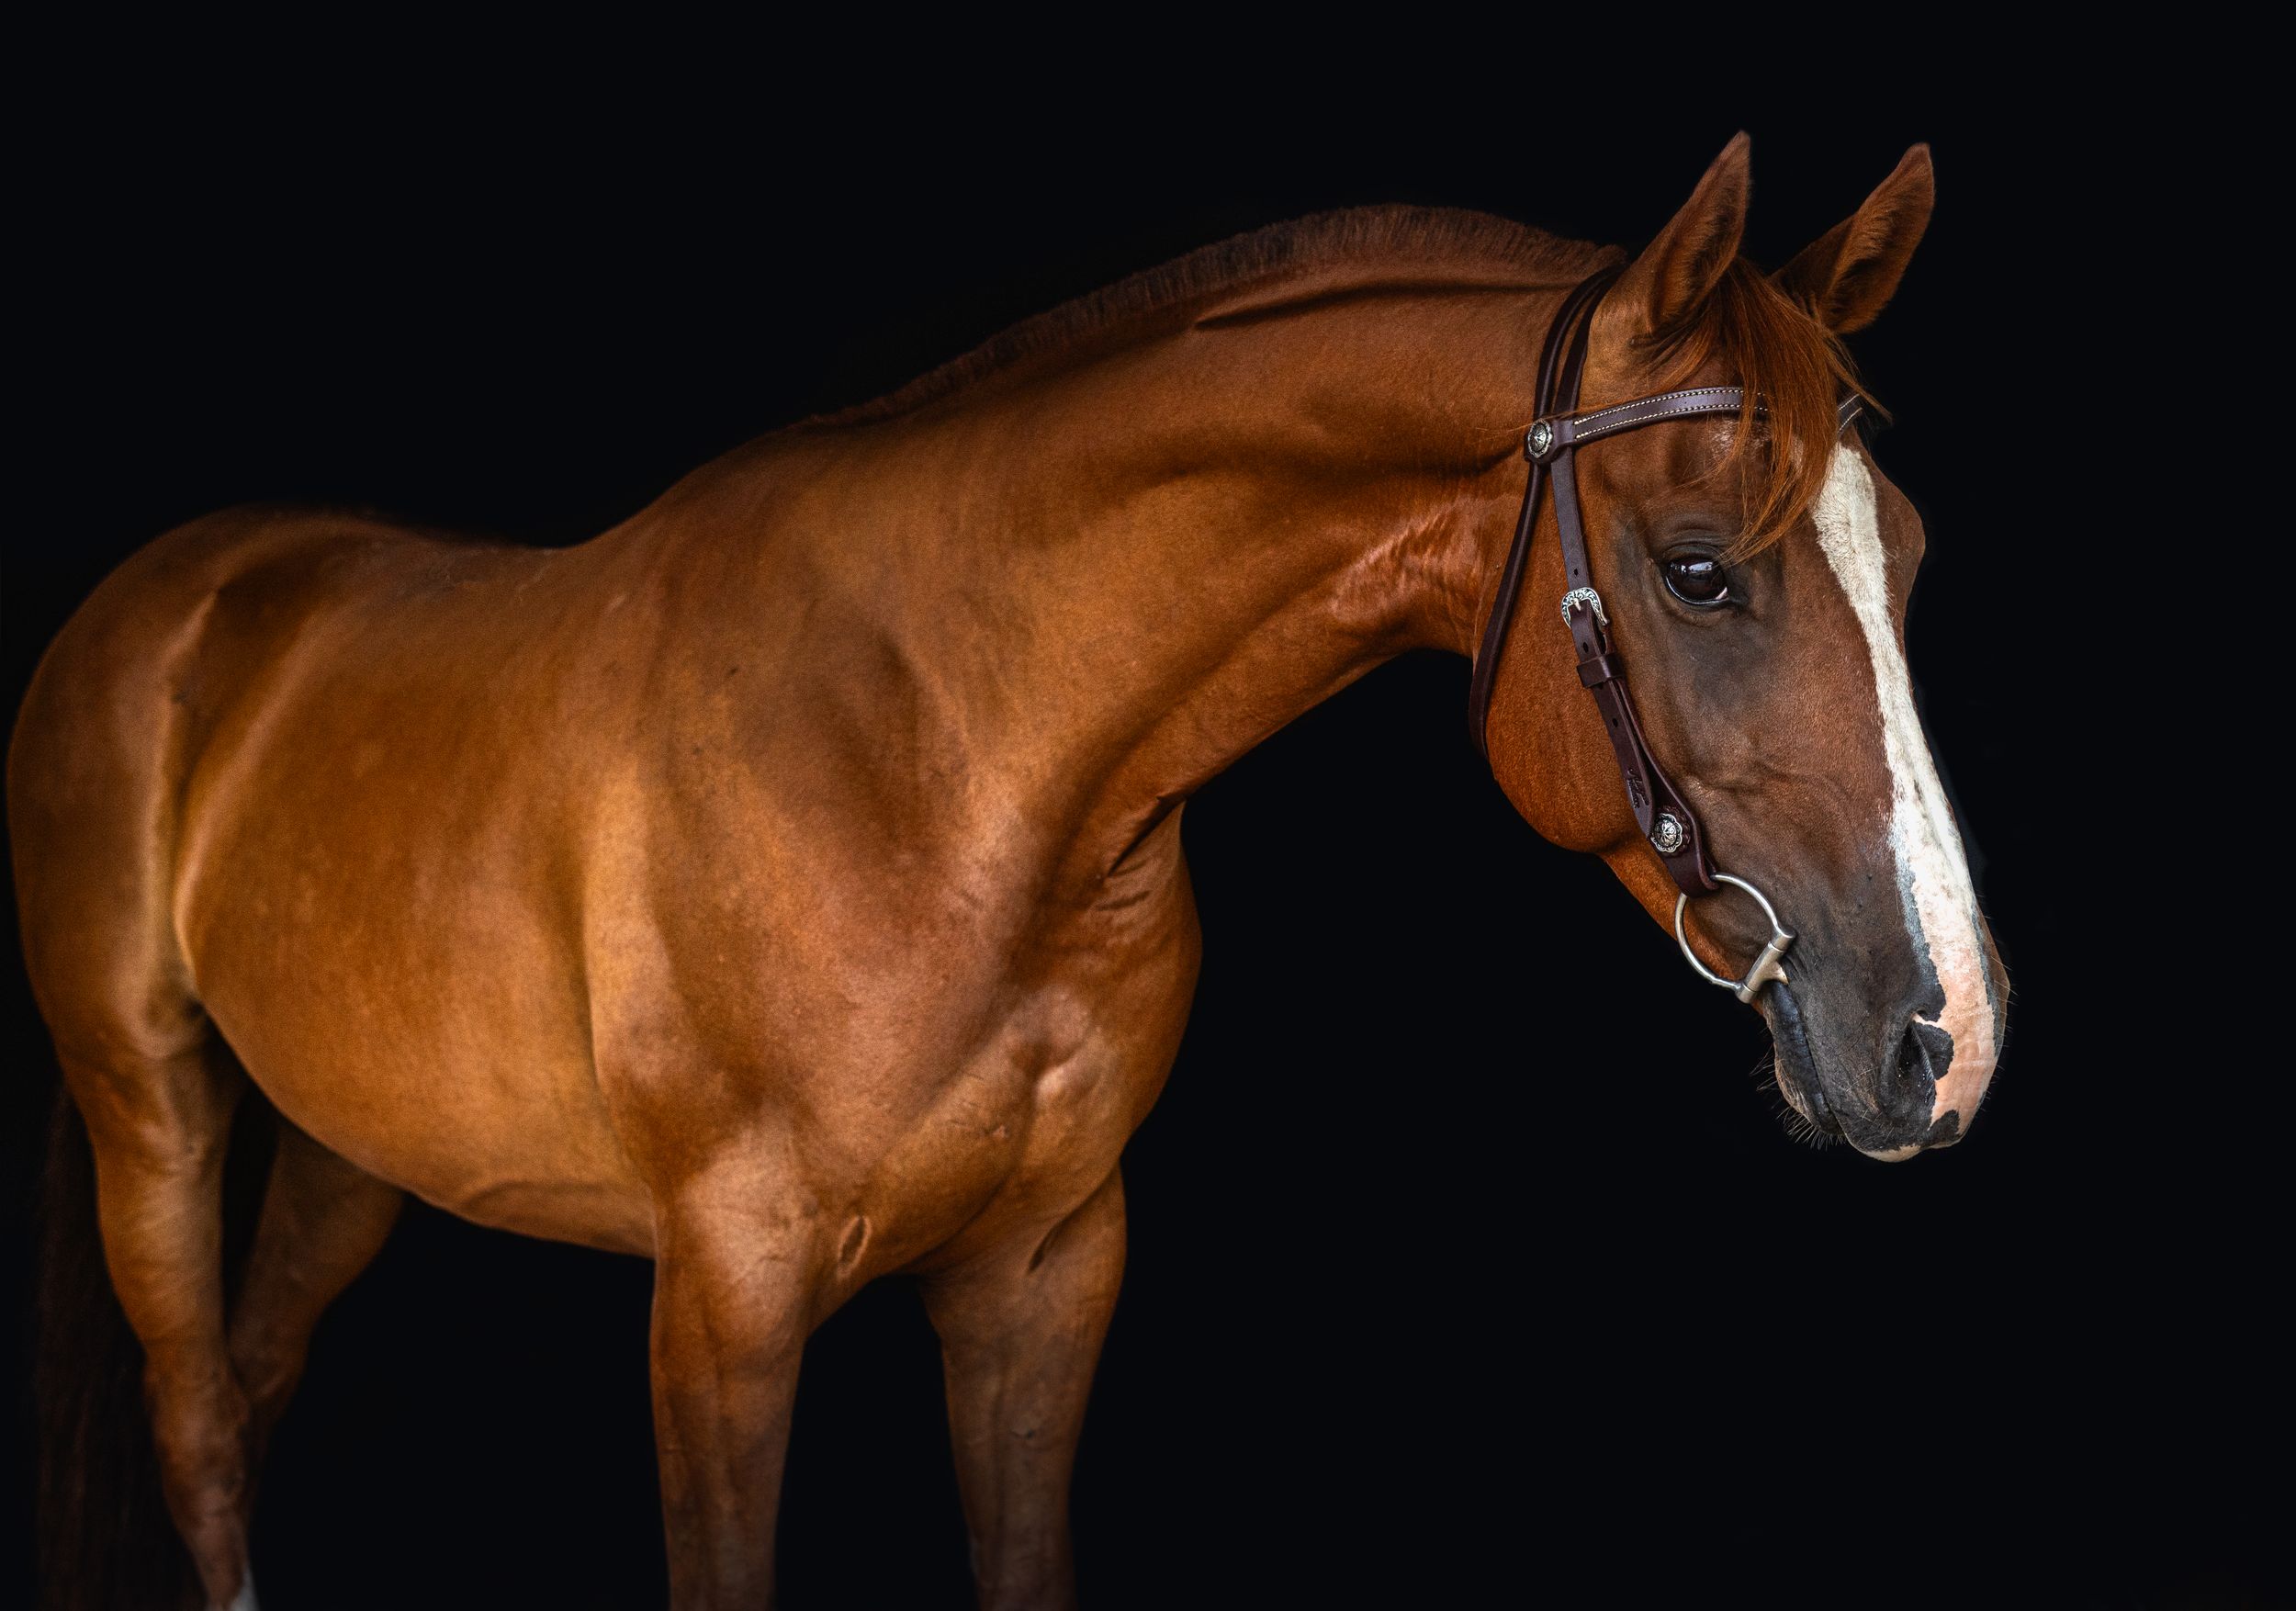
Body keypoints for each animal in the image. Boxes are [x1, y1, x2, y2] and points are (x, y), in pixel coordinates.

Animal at [11, 134, 2006, 1609]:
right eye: (1697, 568)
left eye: (1901, 549)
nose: (1946, 1037)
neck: (949, 758)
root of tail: (177, 595)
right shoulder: (722, 1301)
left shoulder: (1045, 1268)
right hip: (146, 1104)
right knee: (198, 1422)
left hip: (352, 1143)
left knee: (253, 1384)